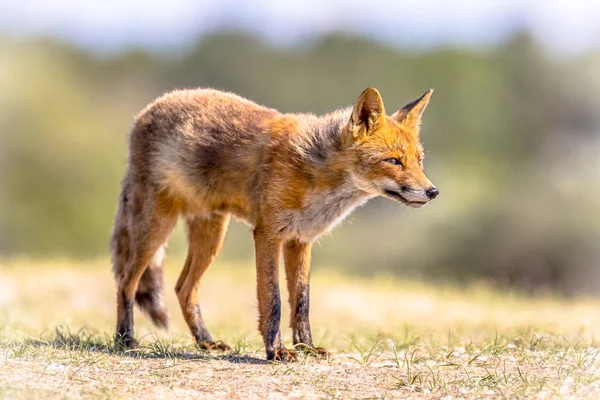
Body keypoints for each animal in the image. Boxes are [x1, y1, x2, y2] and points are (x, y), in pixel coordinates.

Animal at [112, 87, 438, 362]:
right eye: (393, 161)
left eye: (419, 160)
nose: (433, 192)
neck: (315, 171)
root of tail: (149, 108)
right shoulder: (267, 234)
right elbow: (273, 299)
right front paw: (276, 351)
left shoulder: (300, 239)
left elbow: (302, 302)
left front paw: (306, 347)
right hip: (157, 226)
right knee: (126, 281)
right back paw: (125, 338)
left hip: (212, 235)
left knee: (183, 289)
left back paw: (205, 341)